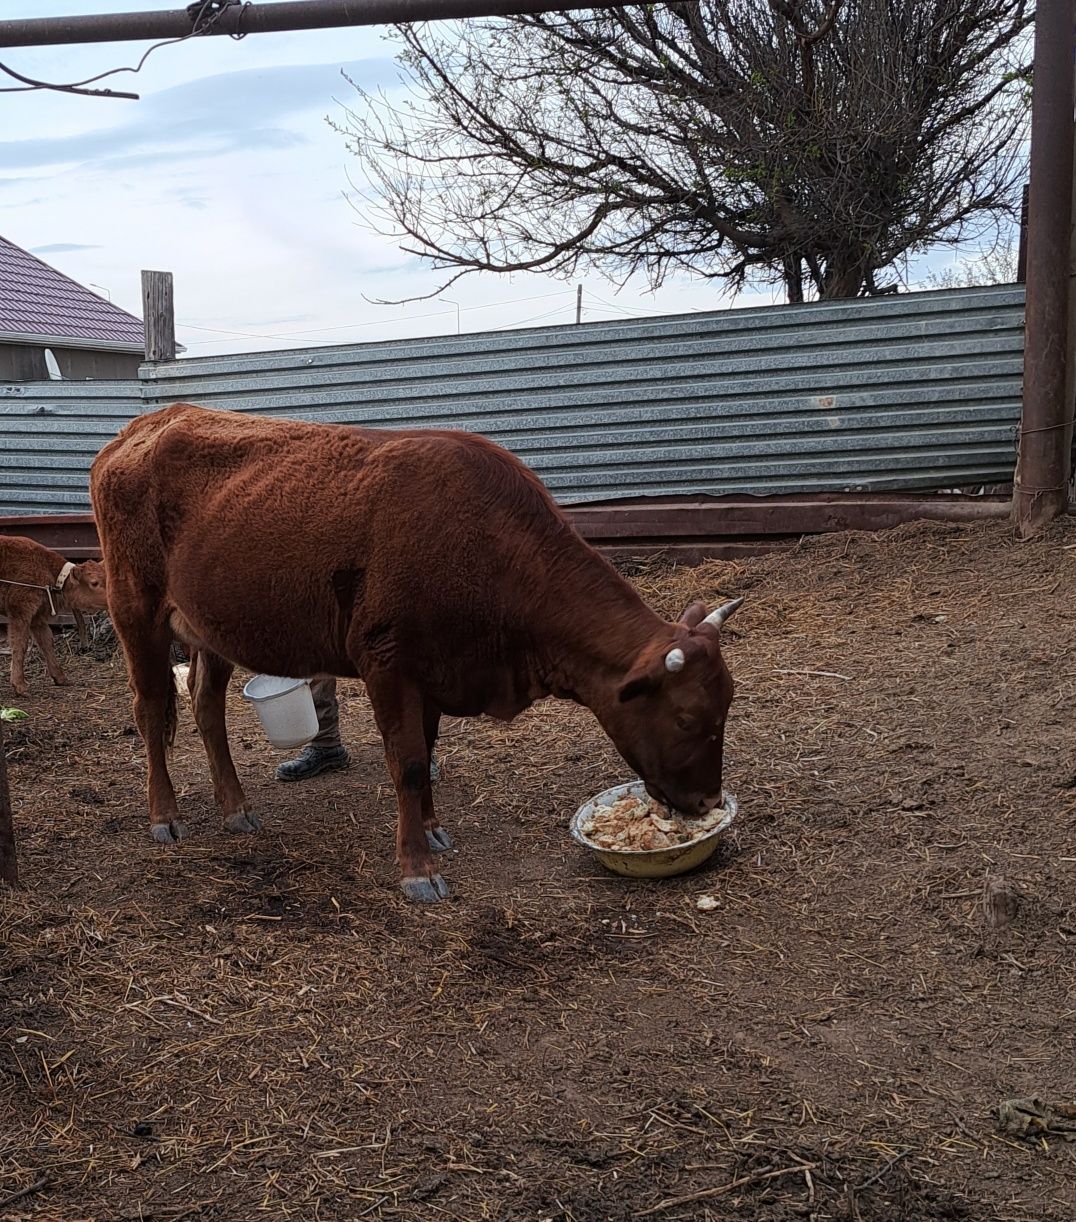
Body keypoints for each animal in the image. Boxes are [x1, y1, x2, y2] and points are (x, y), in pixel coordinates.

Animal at [0, 537, 109, 698]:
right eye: (94, 582)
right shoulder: (20, 612)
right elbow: (20, 645)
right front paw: (20, 686)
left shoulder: (37, 617)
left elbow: (47, 642)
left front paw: (61, 678)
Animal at [92, 405, 742, 904]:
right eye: (687, 718)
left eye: (725, 710)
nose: (709, 800)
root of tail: (145, 425)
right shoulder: (388, 662)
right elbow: (405, 764)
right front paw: (417, 869)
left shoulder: (434, 670)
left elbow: (424, 755)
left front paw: (431, 831)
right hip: (135, 610)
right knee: (150, 711)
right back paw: (164, 815)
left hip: (209, 628)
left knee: (205, 706)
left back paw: (235, 806)